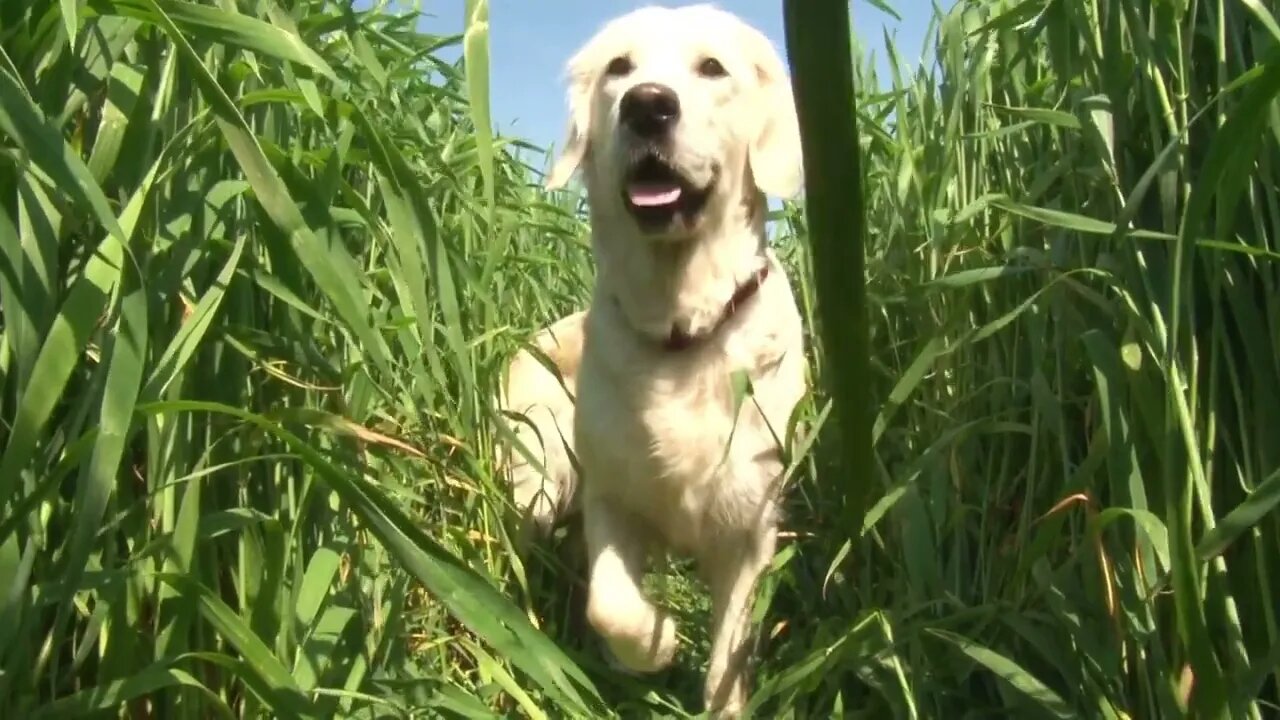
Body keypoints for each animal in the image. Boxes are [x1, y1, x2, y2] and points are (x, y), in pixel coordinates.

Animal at [496, 4, 803, 712]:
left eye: (712, 67)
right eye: (620, 67)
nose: (648, 106)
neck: (681, 328)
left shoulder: (749, 525)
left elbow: (728, 656)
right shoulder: (613, 496)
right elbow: (610, 604)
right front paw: (656, 642)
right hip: (538, 476)